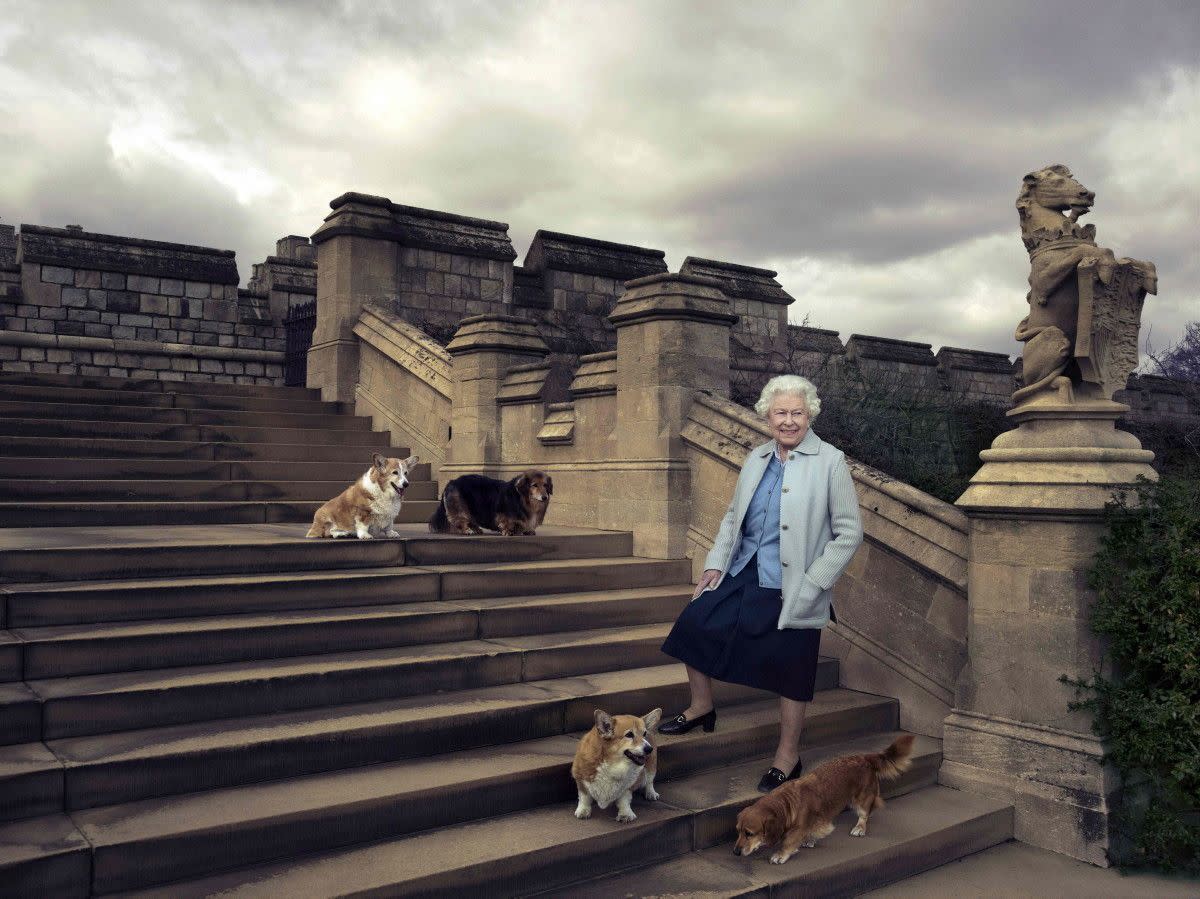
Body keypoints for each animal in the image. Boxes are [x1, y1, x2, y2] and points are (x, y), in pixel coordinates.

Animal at [729, 734, 916, 864]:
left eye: (749, 833)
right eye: (738, 831)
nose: (735, 852)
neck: (786, 803)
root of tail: (864, 757)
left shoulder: (799, 827)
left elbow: (789, 841)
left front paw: (781, 855)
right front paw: (809, 840)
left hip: (861, 799)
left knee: (865, 813)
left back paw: (860, 828)